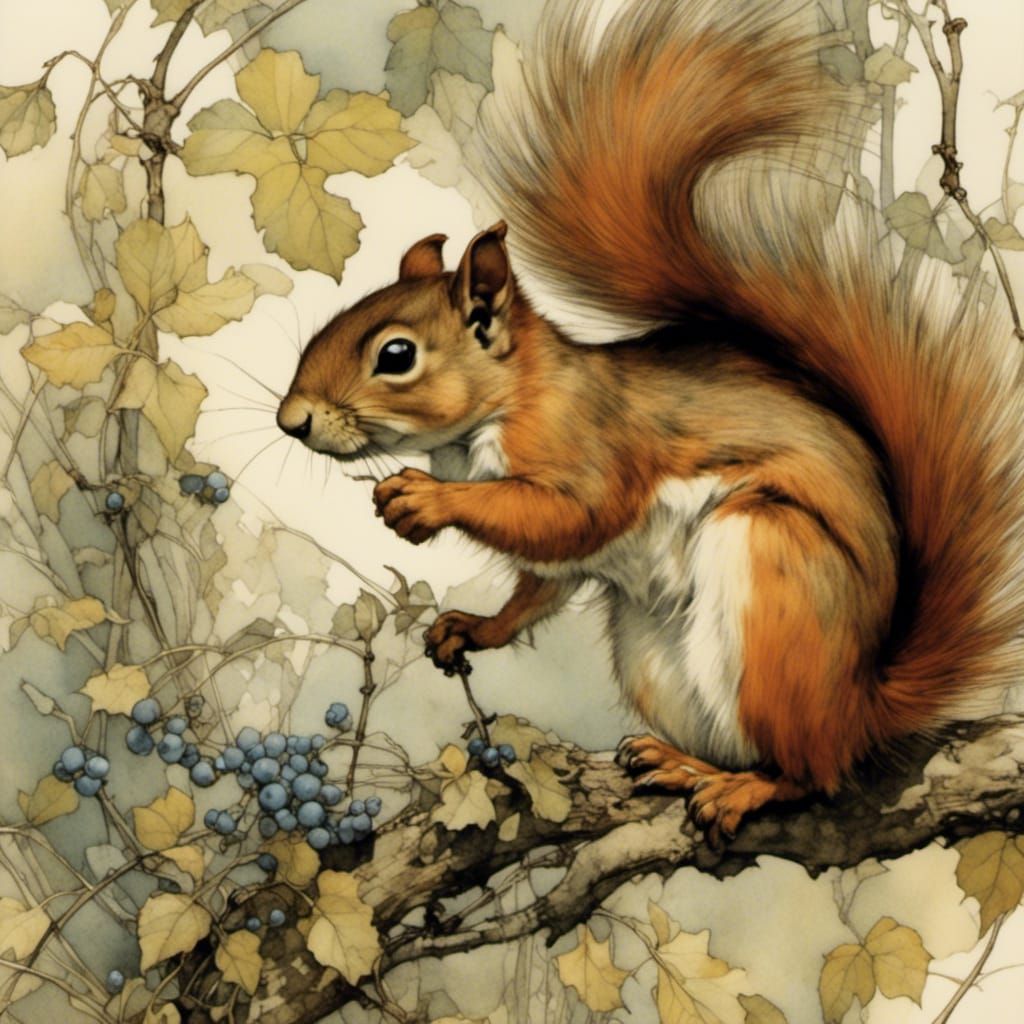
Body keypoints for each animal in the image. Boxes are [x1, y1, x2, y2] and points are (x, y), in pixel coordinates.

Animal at [277, 0, 1024, 840]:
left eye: (396, 354)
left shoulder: (593, 450)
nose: (290, 419)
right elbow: (540, 585)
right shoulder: (560, 562)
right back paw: (679, 762)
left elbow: (567, 517)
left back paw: (743, 788)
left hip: (773, 574)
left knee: (812, 773)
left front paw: (424, 500)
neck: (500, 412)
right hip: (650, 652)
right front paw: (473, 625)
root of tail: (862, 706)